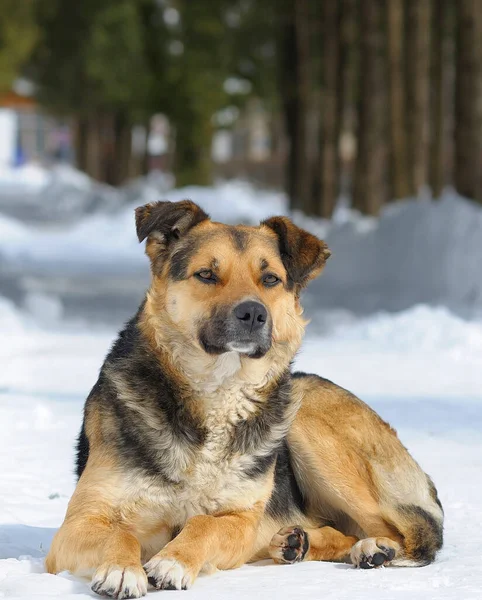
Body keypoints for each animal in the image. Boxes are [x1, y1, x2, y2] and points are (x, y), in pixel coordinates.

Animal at [46, 200, 444, 596]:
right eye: (207, 275)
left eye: (270, 280)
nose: (253, 313)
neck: (218, 393)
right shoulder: (80, 522)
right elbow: (121, 534)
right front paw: (122, 569)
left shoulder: (241, 519)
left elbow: (203, 524)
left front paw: (173, 562)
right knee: (341, 532)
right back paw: (296, 543)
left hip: (306, 418)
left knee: (406, 535)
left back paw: (374, 548)